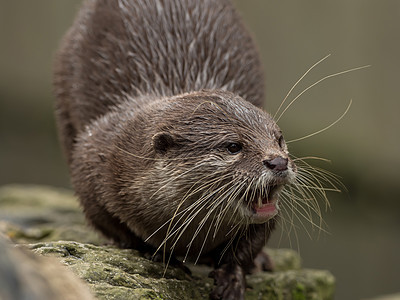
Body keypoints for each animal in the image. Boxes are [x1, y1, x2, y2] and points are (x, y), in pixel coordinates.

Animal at [53, 1, 296, 298]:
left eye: (279, 138)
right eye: (233, 146)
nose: (278, 162)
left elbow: (250, 244)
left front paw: (233, 276)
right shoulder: (91, 164)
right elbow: (116, 228)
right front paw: (159, 255)